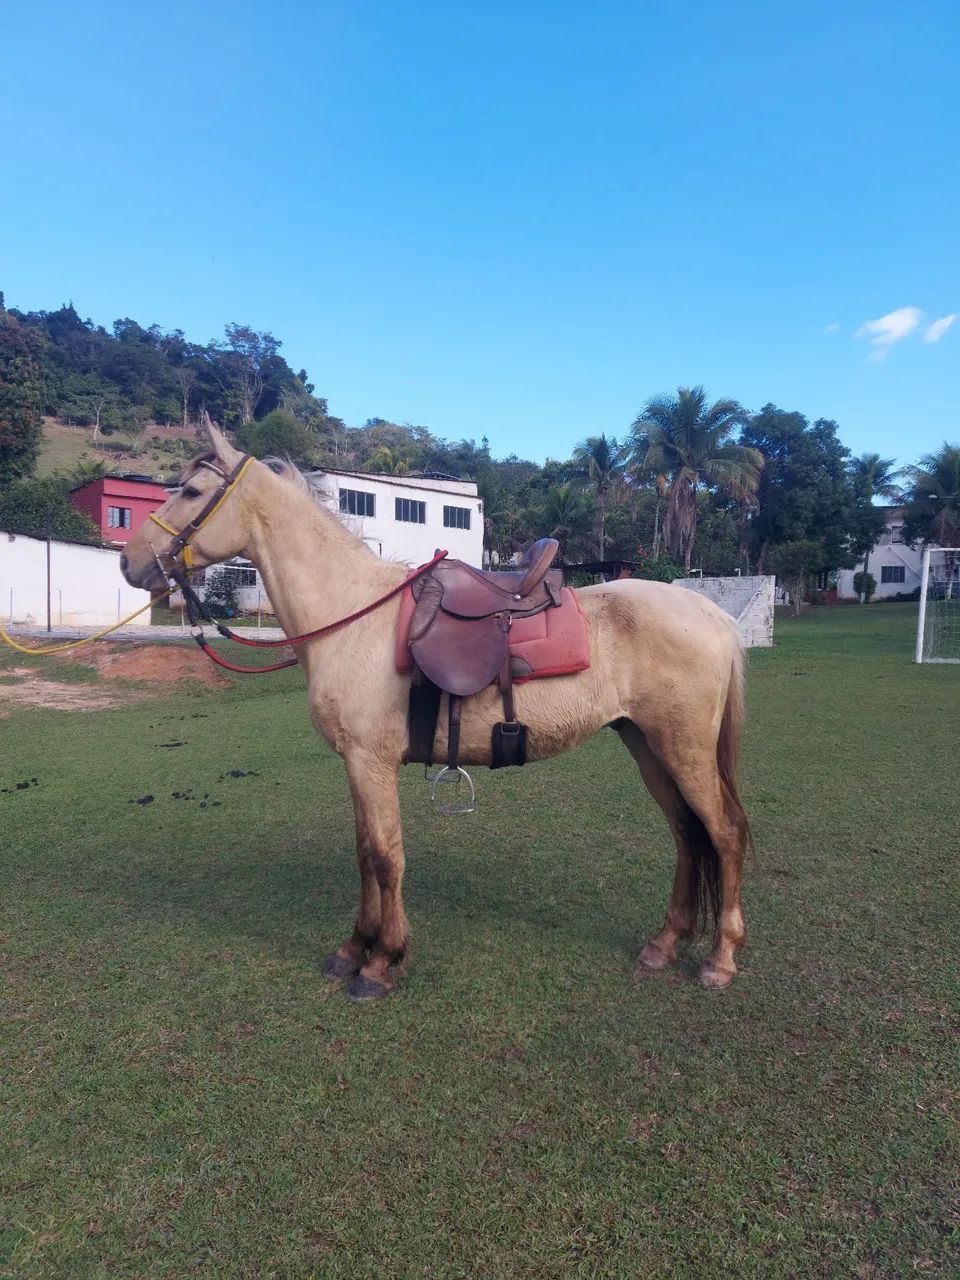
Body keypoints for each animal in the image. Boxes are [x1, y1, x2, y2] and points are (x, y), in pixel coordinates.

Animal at [120, 417, 752, 1001]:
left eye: (192, 492)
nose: (130, 563)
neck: (352, 615)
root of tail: (710, 613)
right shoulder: (357, 764)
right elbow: (364, 854)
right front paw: (354, 948)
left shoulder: (371, 761)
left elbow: (386, 857)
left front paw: (382, 962)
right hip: (646, 744)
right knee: (685, 832)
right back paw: (664, 944)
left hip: (682, 749)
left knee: (721, 833)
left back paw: (720, 959)